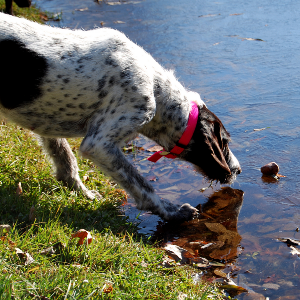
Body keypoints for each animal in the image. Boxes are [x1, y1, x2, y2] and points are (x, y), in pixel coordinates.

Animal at [0, 12, 241, 221]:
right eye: (225, 142)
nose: (238, 170)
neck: (155, 88)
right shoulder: (98, 144)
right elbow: (143, 186)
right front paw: (171, 212)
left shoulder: (46, 120)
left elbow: (65, 160)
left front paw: (81, 192)